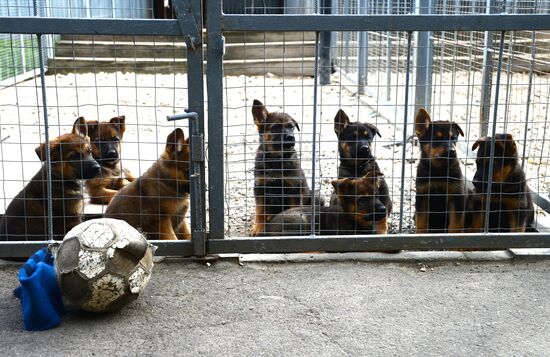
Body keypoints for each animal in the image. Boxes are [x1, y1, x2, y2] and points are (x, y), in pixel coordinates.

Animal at [251, 98, 314, 235]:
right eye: (275, 127)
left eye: (291, 126)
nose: (291, 137)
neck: (277, 159)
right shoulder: (260, 187)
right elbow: (260, 211)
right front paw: (258, 227)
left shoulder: (295, 189)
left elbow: (294, 209)